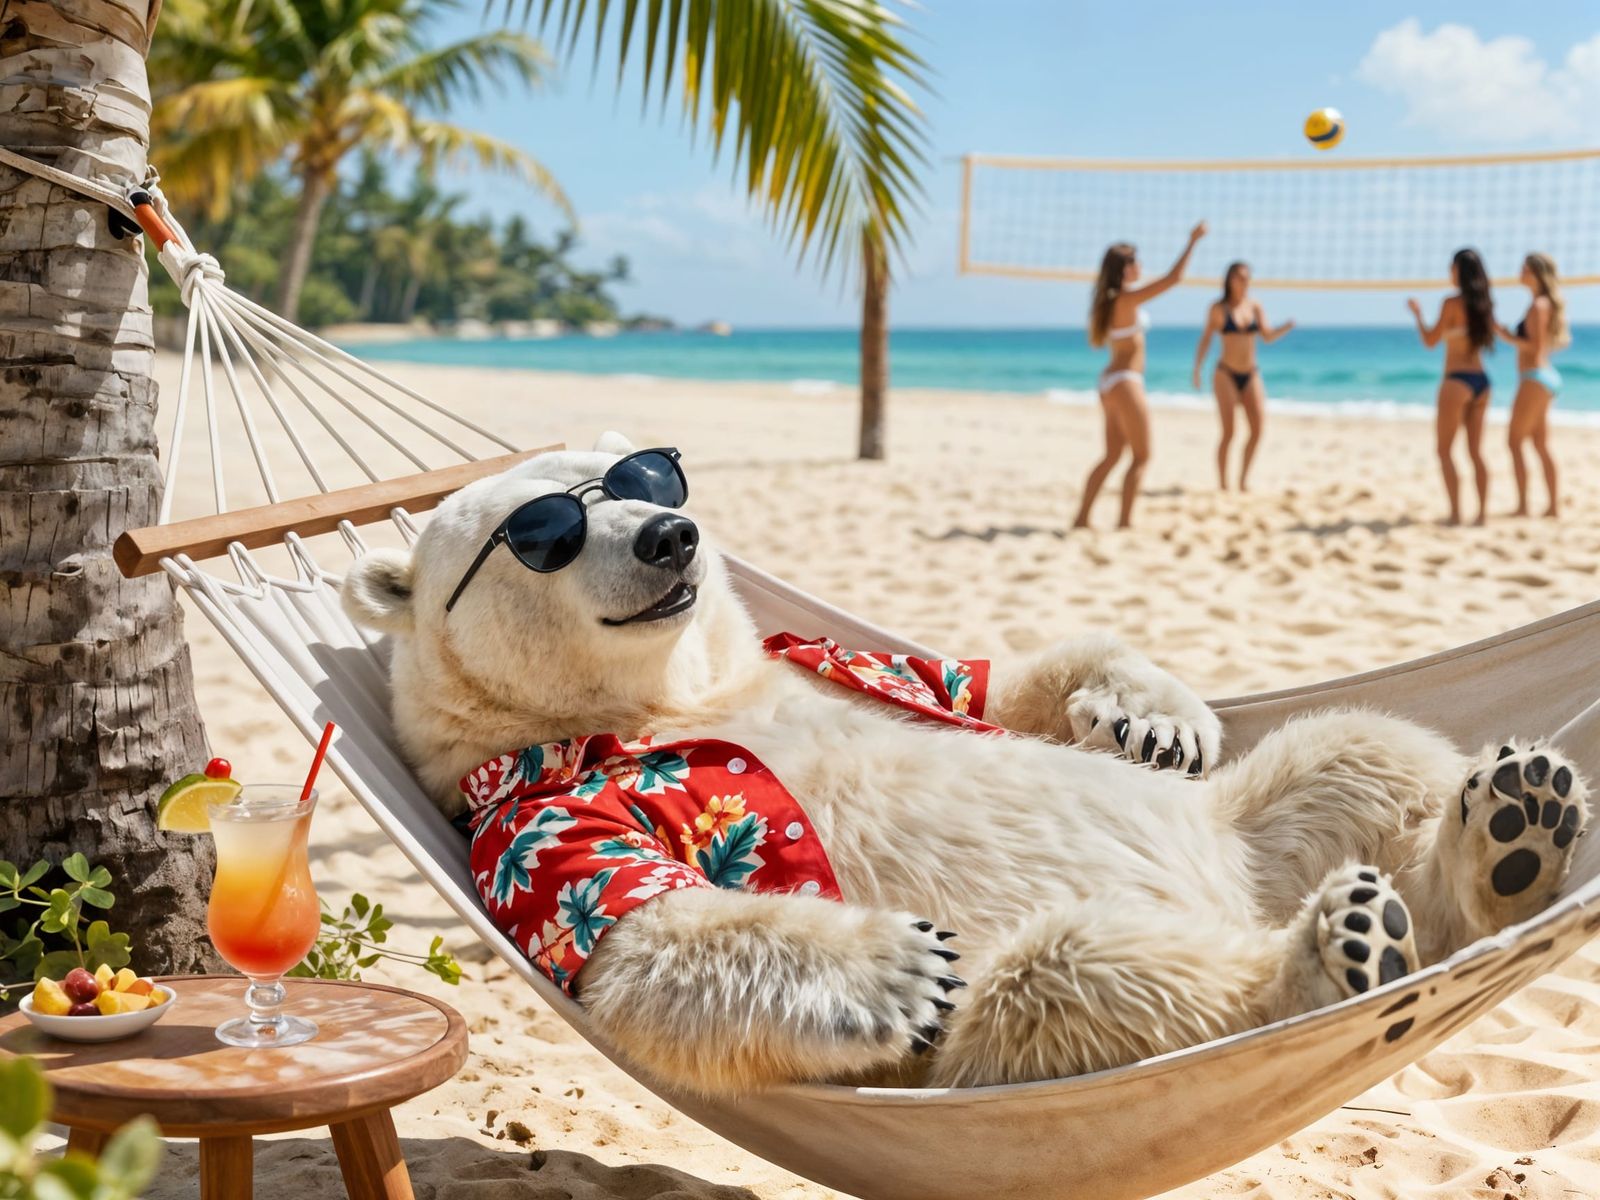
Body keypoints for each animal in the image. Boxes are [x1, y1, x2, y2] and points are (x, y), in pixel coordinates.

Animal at [342, 433, 1589, 1094]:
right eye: (543, 532)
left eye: (645, 479)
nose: (668, 538)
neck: (677, 696)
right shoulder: (540, 816)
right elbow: (643, 938)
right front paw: (896, 968)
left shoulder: (815, 660)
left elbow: (985, 682)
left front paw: (1156, 724)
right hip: (993, 1048)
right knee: (1067, 974)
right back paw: (1342, 951)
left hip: (1252, 831)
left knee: (1358, 754)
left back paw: (1507, 839)